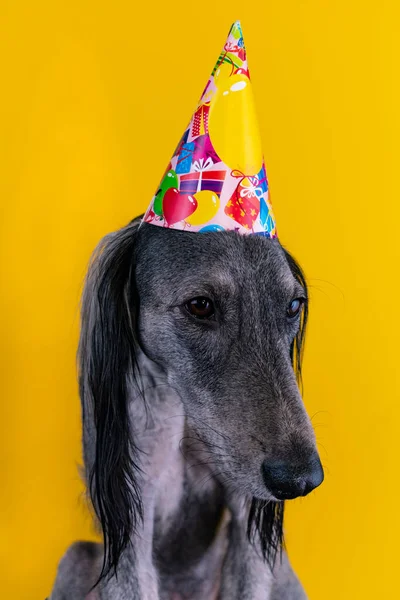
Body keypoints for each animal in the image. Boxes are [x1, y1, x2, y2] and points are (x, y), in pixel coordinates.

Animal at [49, 217, 324, 600]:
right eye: (200, 305)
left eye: (294, 305)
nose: (300, 480)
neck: (184, 416)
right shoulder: (130, 518)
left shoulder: (247, 518)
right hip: (75, 557)